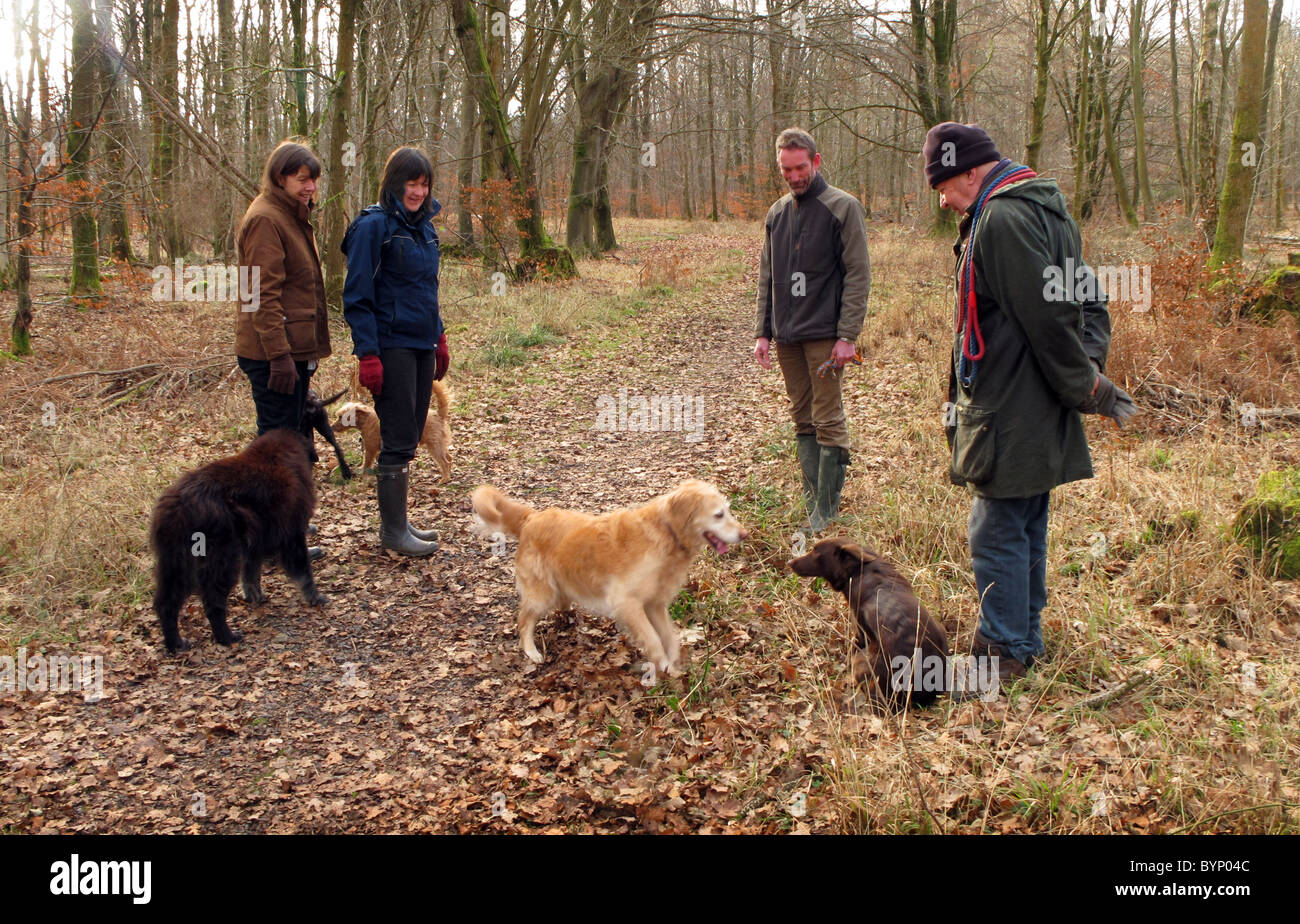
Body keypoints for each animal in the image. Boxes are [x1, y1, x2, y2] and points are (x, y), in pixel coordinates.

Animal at [151, 428, 327, 654]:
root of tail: (181, 505)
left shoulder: (256, 545)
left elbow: (251, 573)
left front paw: (254, 595)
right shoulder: (292, 535)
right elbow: (304, 572)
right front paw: (315, 598)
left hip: (176, 566)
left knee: (167, 604)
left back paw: (176, 644)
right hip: (222, 561)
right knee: (213, 604)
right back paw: (227, 637)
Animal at [473, 480, 748, 675]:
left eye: (728, 511)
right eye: (719, 515)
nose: (745, 534)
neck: (665, 534)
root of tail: (532, 518)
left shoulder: (655, 603)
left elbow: (670, 637)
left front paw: (673, 664)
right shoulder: (628, 602)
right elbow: (653, 639)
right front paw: (661, 666)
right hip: (542, 592)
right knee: (524, 621)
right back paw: (531, 651)